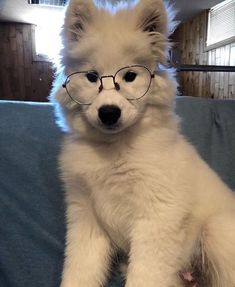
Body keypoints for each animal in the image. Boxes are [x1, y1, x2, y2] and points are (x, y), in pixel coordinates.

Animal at [52, 0, 235, 287]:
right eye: (92, 77)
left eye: (130, 76)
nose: (109, 113)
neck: (113, 148)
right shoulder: (86, 217)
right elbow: (80, 270)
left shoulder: (157, 216)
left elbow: (145, 275)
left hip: (217, 232)